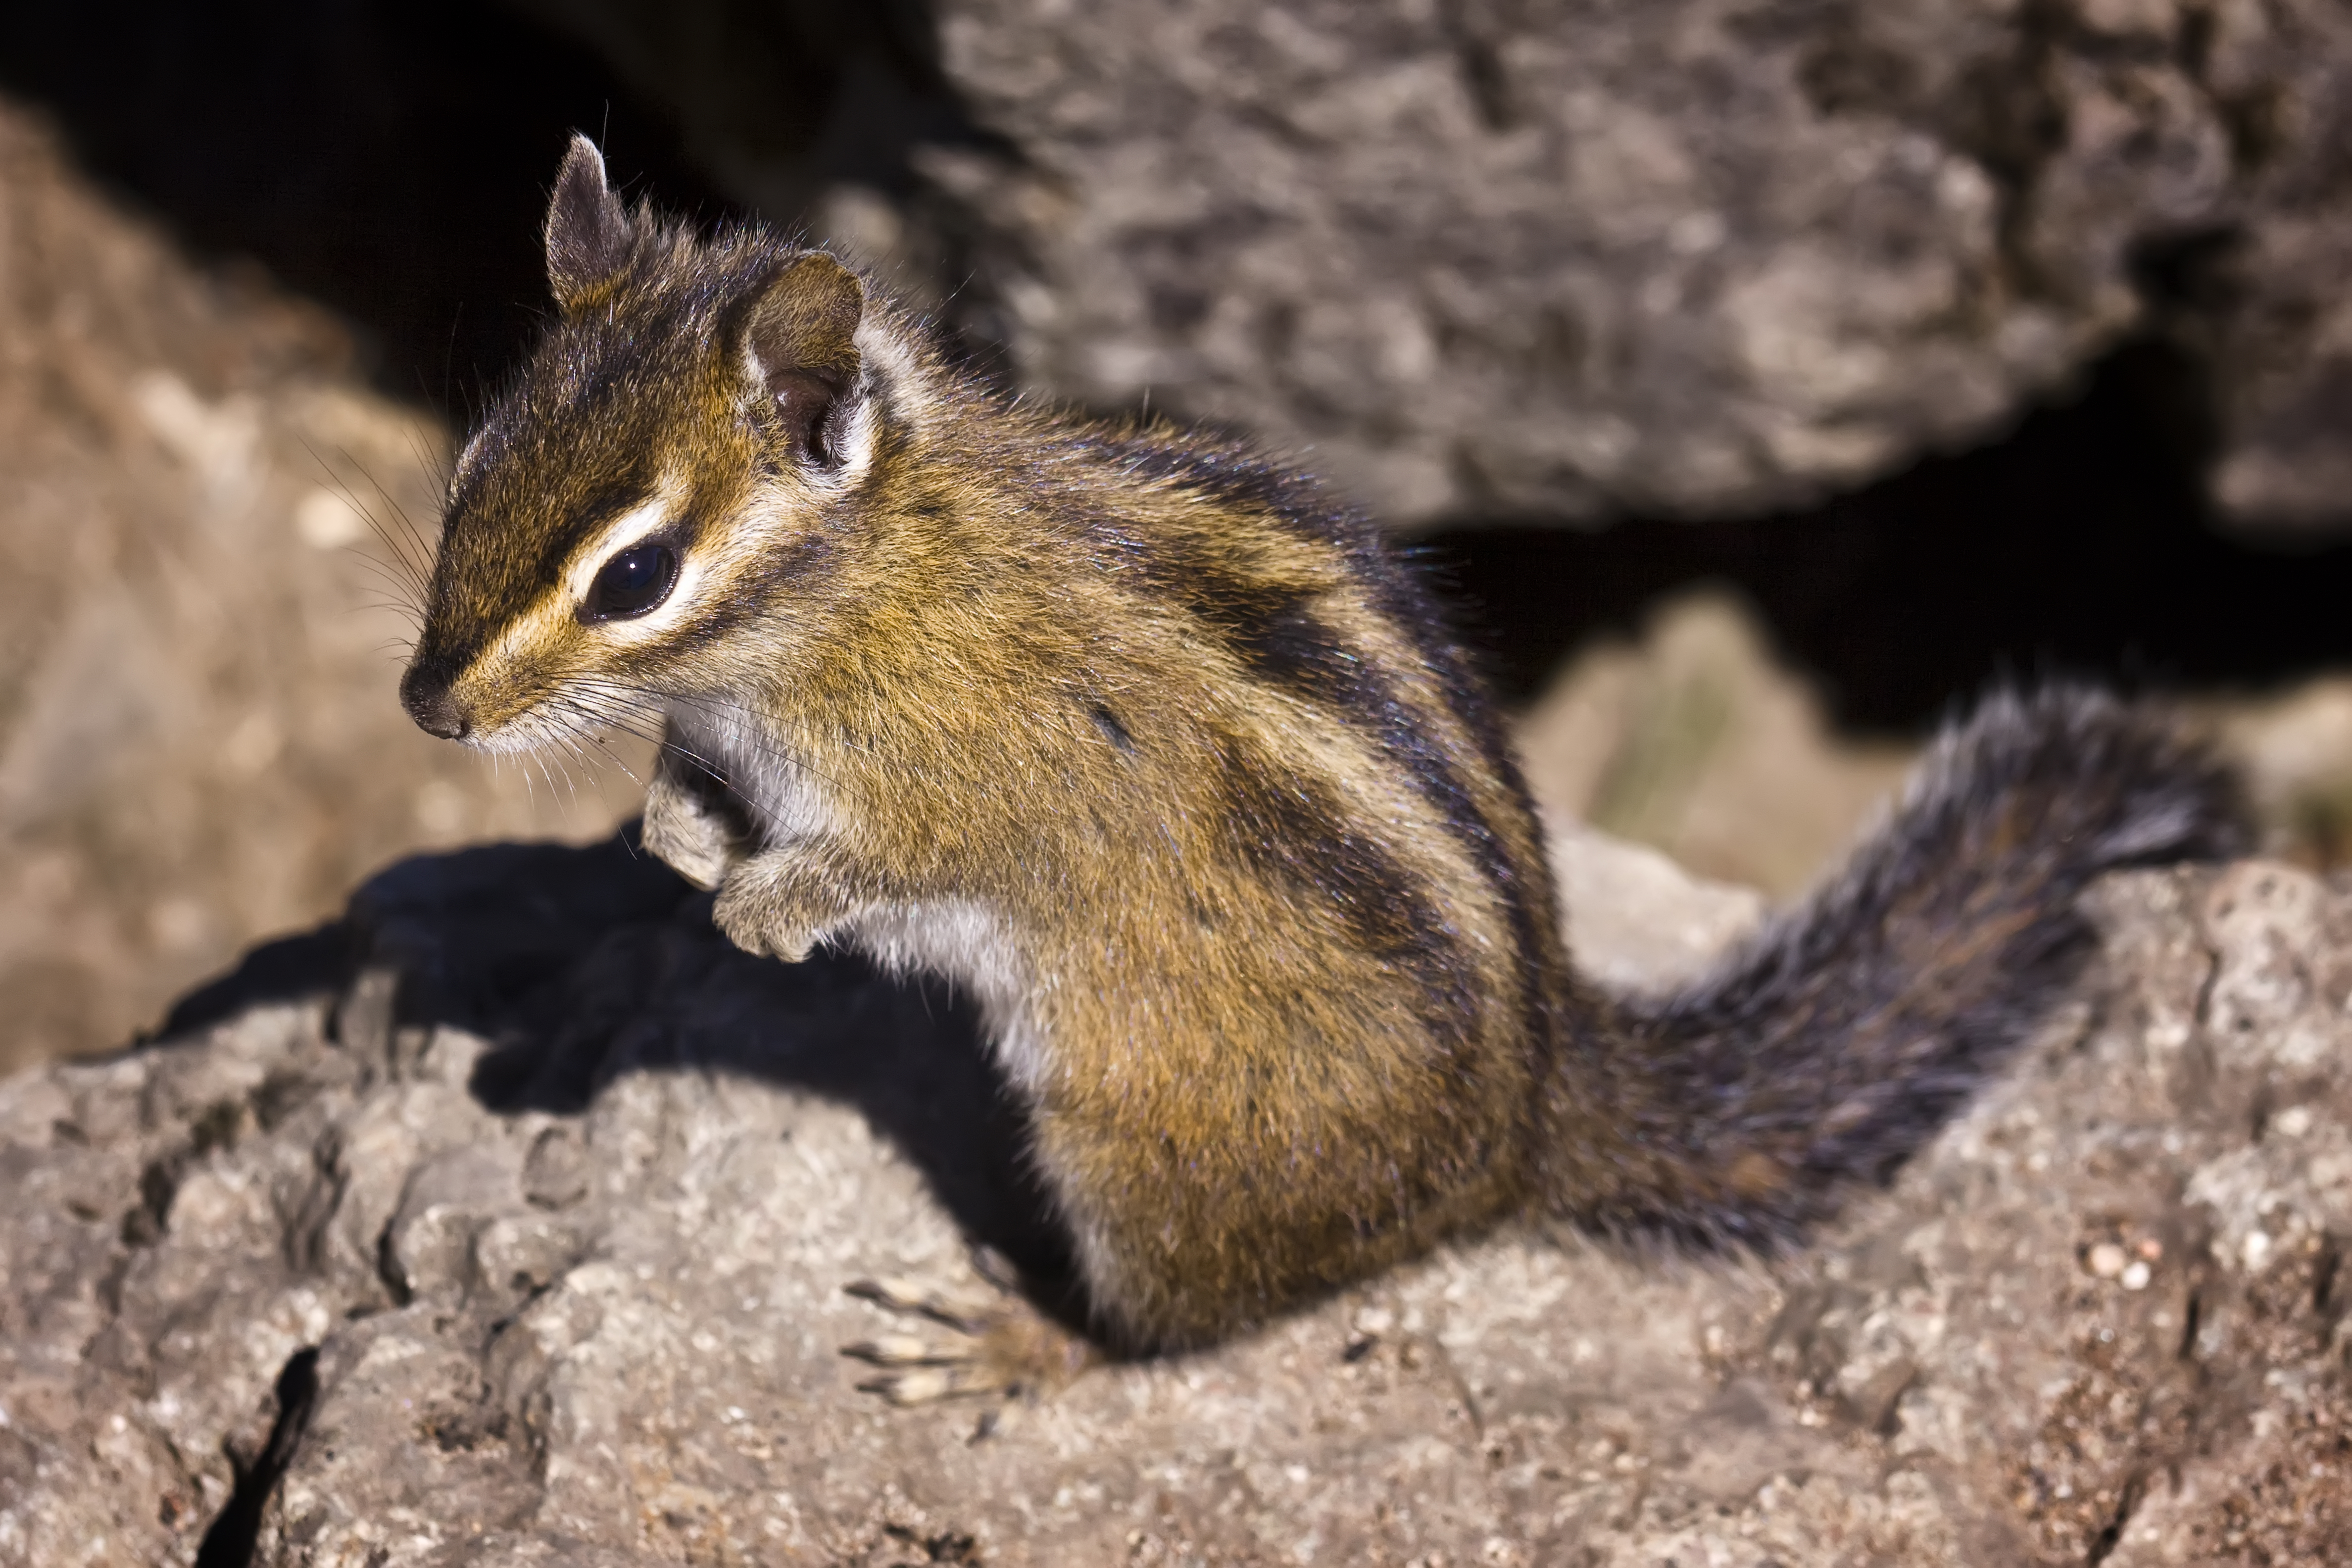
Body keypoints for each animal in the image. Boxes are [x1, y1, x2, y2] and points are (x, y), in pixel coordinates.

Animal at [399, 136, 2246, 1400]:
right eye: (472, 464)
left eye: (637, 573)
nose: (430, 709)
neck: (861, 593)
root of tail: (1533, 1127)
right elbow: (689, 800)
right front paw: (673, 832)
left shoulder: (984, 783)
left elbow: (909, 860)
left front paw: (768, 906)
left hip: (1144, 1155)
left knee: (1167, 1334)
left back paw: (1014, 1335)